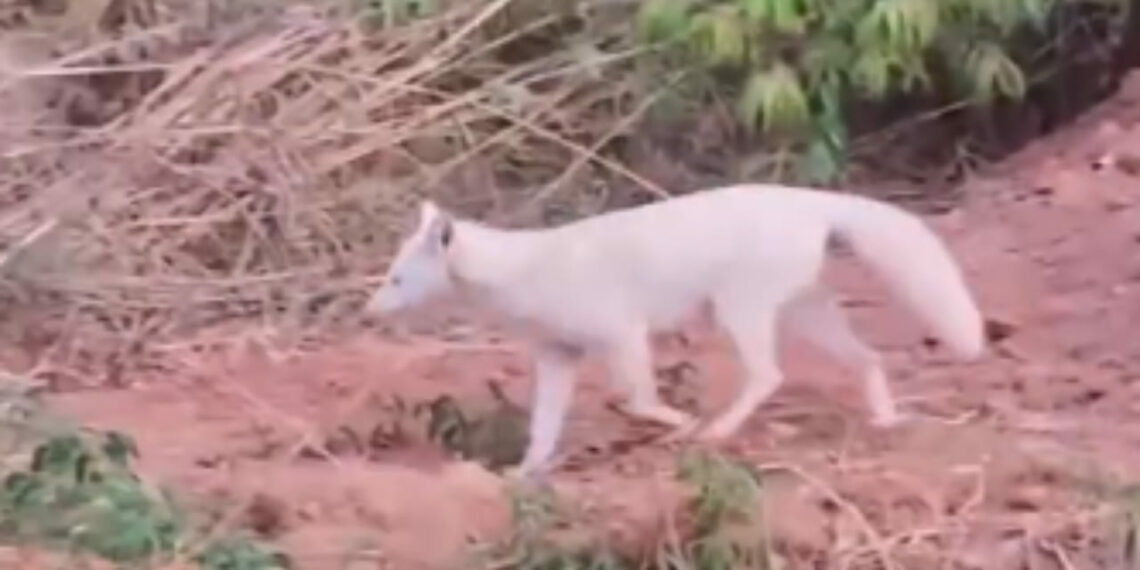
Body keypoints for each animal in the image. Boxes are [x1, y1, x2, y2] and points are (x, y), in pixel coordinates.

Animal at [365, 184, 985, 478]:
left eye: (396, 278)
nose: (368, 312)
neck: (523, 274)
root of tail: (813, 199)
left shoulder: (622, 332)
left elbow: (637, 399)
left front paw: (679, 424)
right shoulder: (558, 355)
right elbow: (543, 427)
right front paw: (522, 474)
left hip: (742, 310)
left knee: (769, 374)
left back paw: (717, 430)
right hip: (804, 311)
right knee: (866, 358)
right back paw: (885, 420)